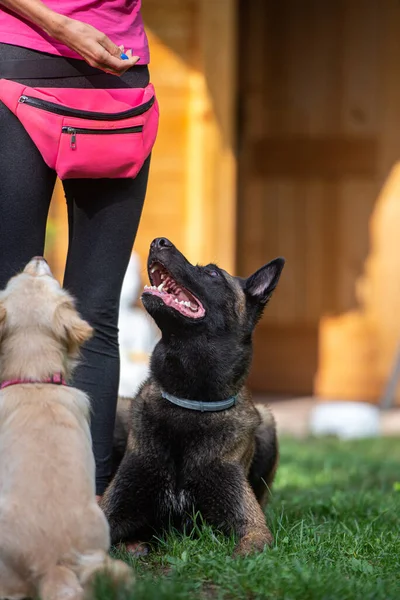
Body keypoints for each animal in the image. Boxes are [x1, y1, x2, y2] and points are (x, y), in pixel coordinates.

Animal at [102, 237, 284, 556]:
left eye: (212, 273)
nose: (158, 241)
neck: (189, 401)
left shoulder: (252, 526)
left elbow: (247, 549)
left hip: (269, 423)